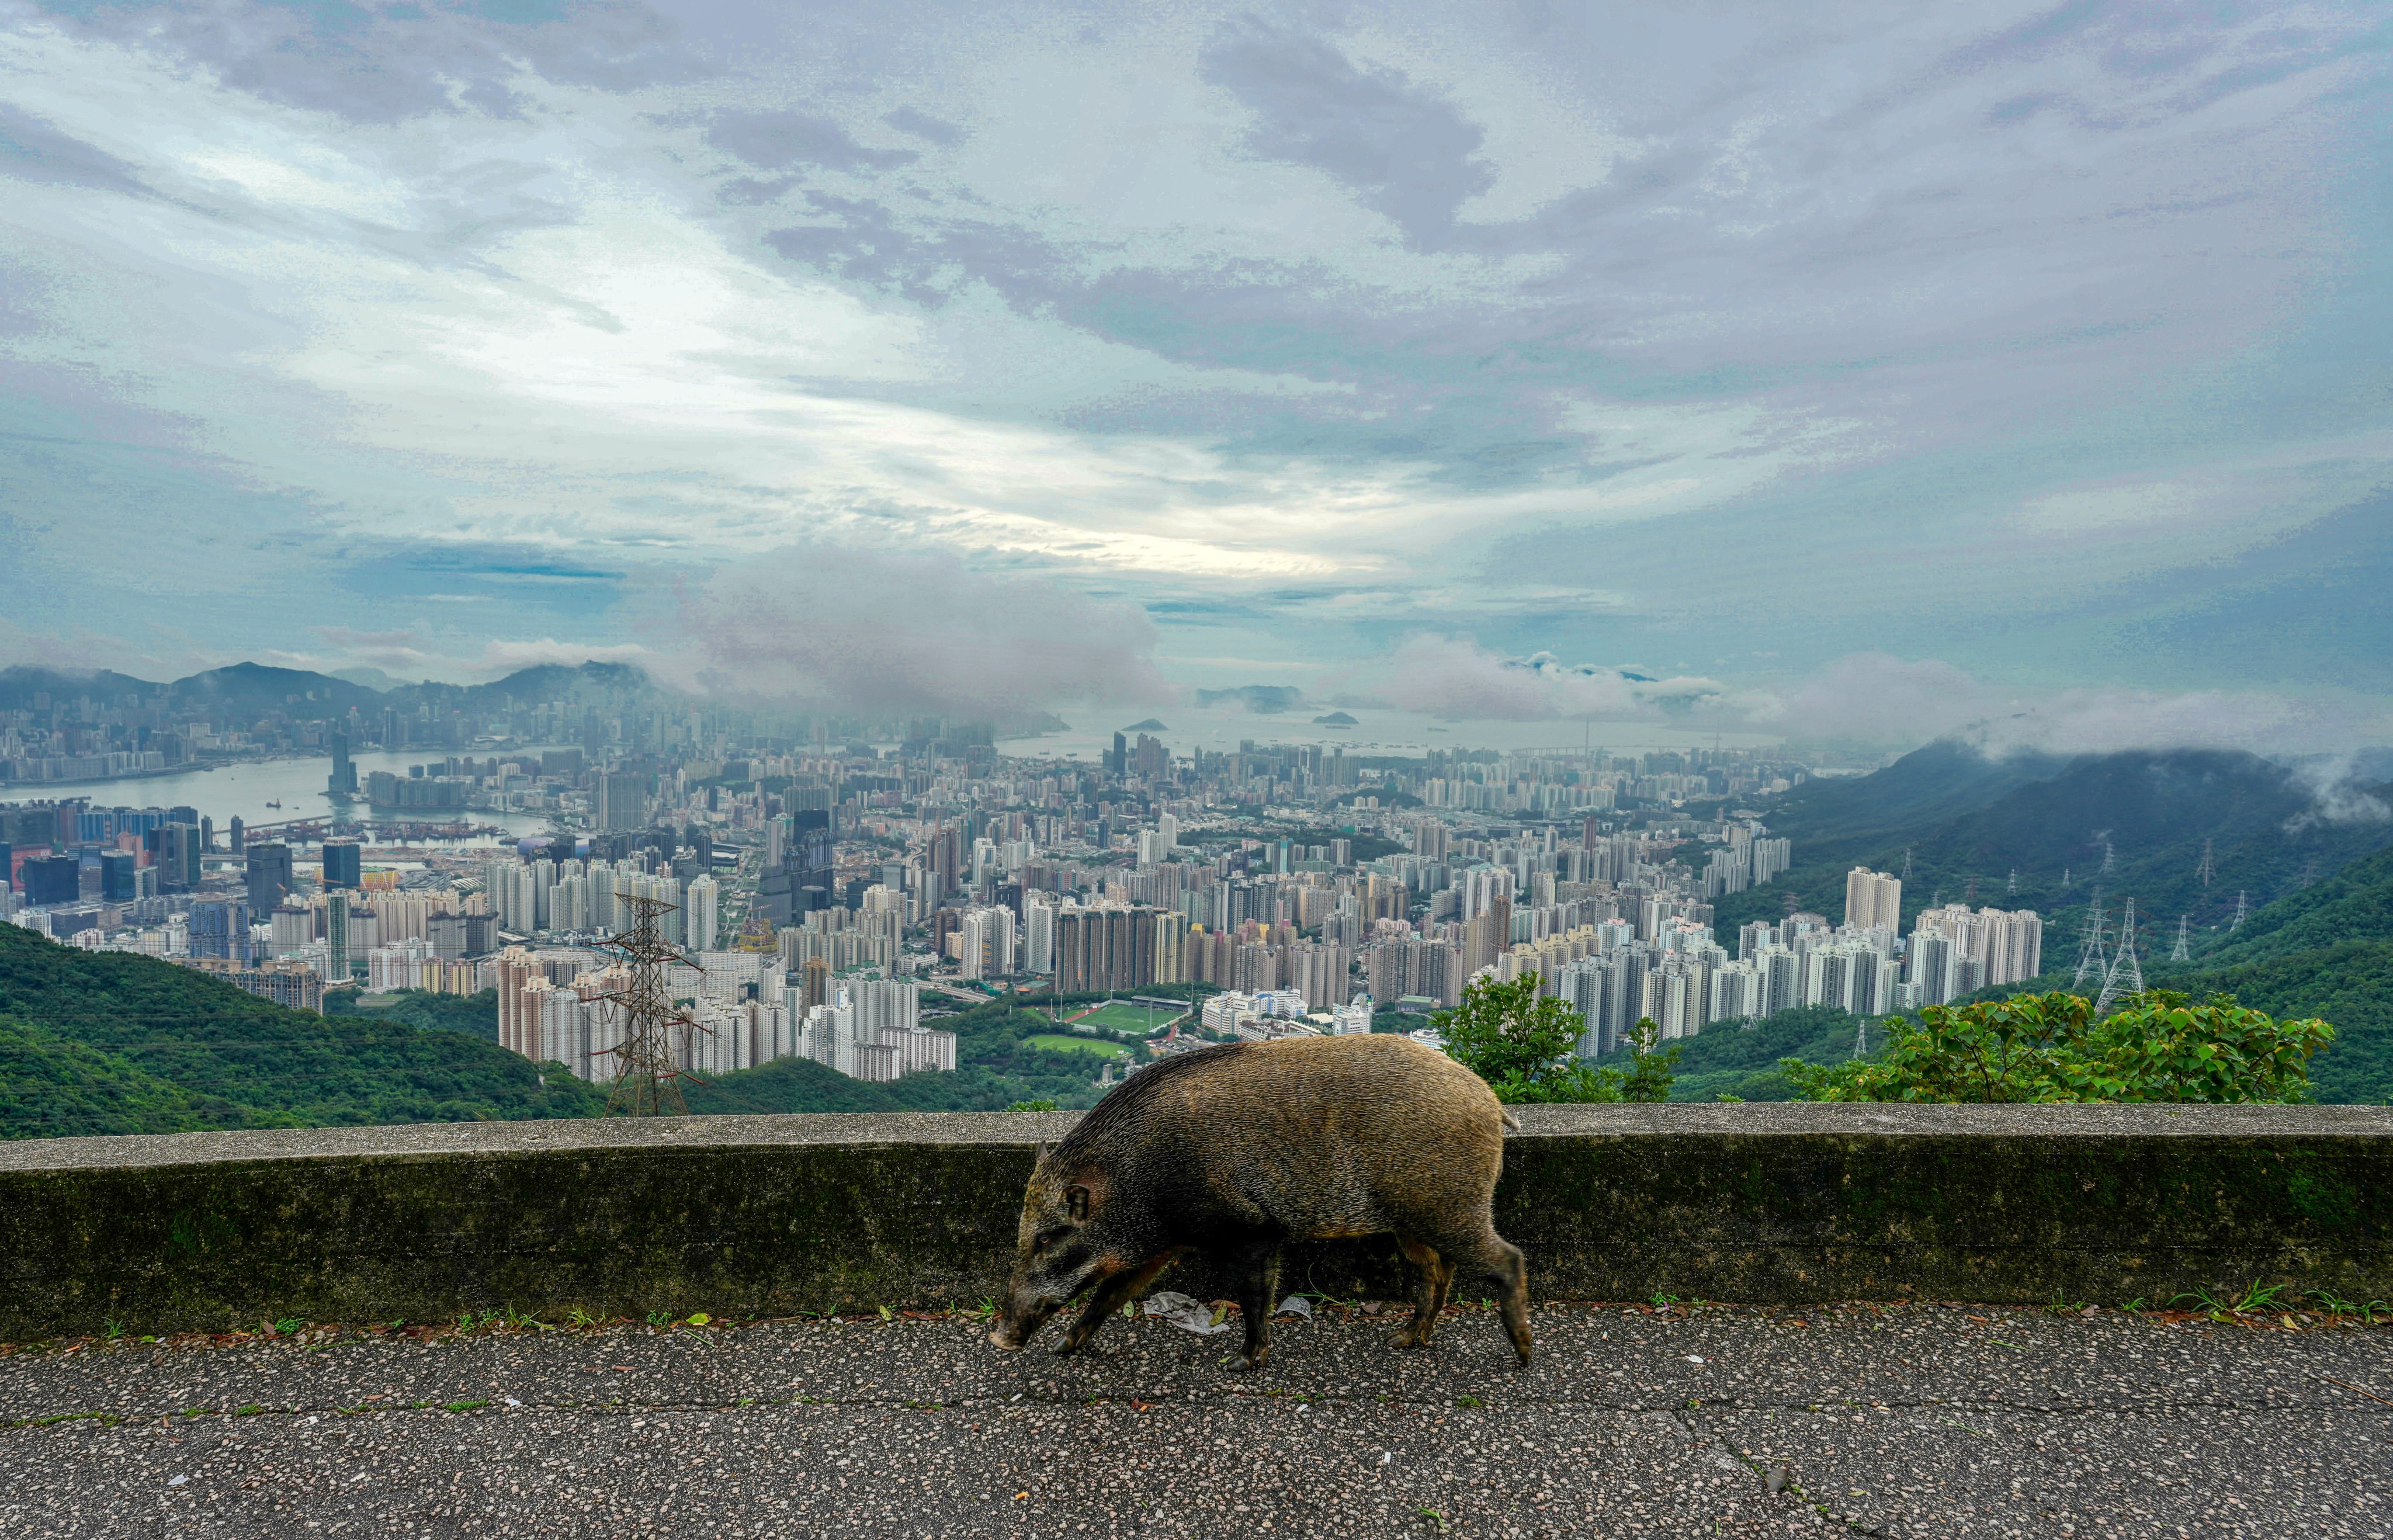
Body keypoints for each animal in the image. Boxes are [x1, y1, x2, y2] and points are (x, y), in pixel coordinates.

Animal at [988, 1032, 1531, 1369]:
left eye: (1048, 1237)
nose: (999, 1337)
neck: (1136, 1179)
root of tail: (1491, 1102)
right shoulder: (1162, 1246)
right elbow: (1112, 1293)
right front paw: (1064, 1348)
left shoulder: (1254, 1229)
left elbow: (1253, 1296)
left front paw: (1240, 1364)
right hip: (1412, 1222)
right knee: (1440, 1271)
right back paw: (1403, 1341)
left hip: (1448, 1206)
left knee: (1507, 1258)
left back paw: (1523, 1355)